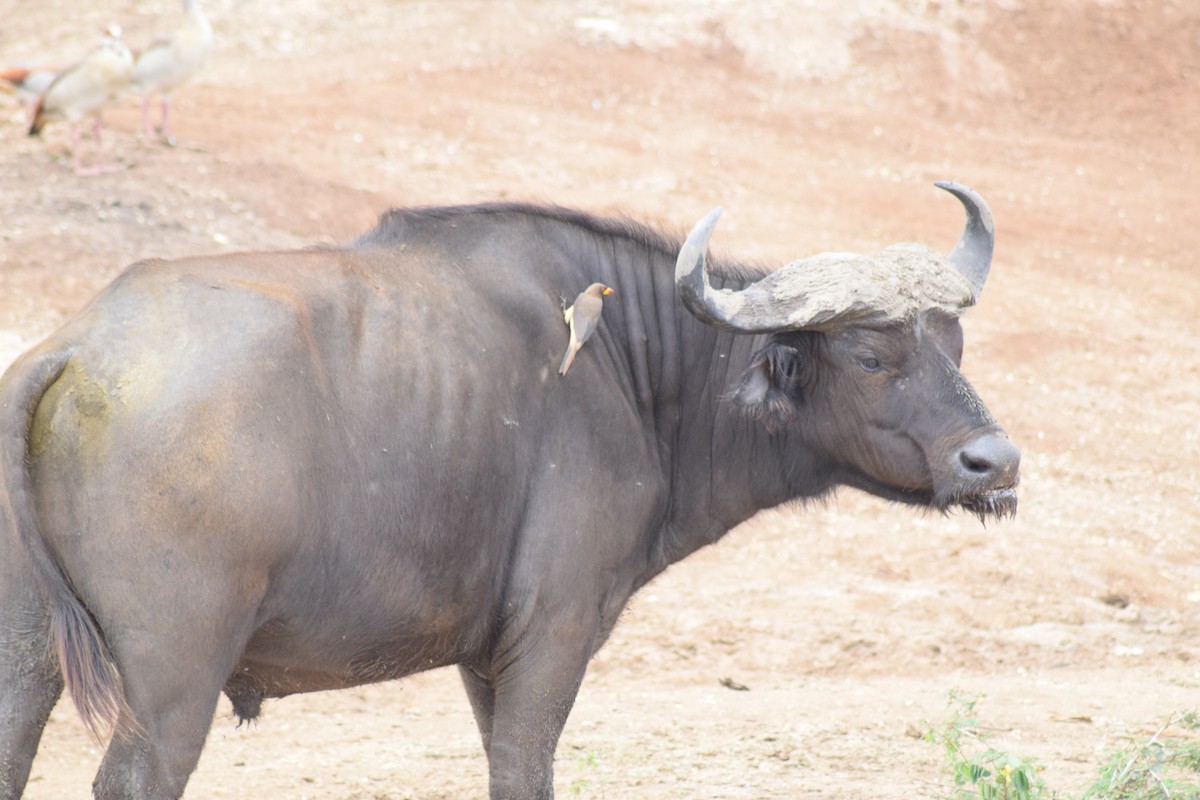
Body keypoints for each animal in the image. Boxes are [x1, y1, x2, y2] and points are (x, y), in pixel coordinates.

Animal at [0, 183, 1017, 800]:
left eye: (953, 342)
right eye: (870, 354)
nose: (996, 463)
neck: (627, 368)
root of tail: (75, 350)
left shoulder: (483, 656)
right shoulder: (553, 634)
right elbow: (525, 772)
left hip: (30, 659)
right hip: (173, 678)